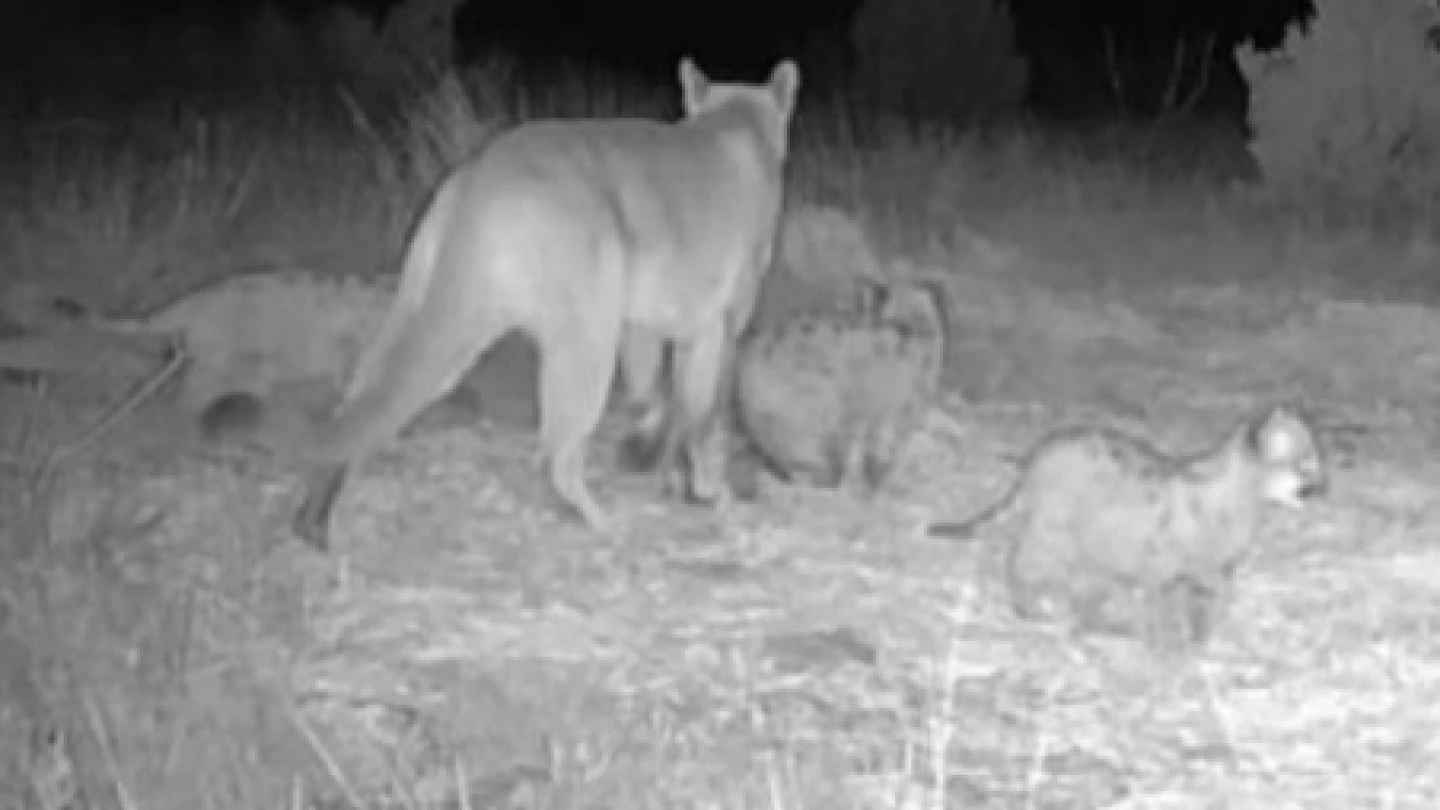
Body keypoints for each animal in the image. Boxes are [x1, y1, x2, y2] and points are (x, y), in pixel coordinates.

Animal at [289, 57, 801, 551]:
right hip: (582, 340)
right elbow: (703, 414)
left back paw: (317, 522)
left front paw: (655, 463)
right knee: (556, 454)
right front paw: (709, 491)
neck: (736, 121)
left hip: (429, 321)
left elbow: (656, 400)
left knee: (360, 408)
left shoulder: (648, 326)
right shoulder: (720, 327)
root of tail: (481, 173)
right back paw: (605, 524)